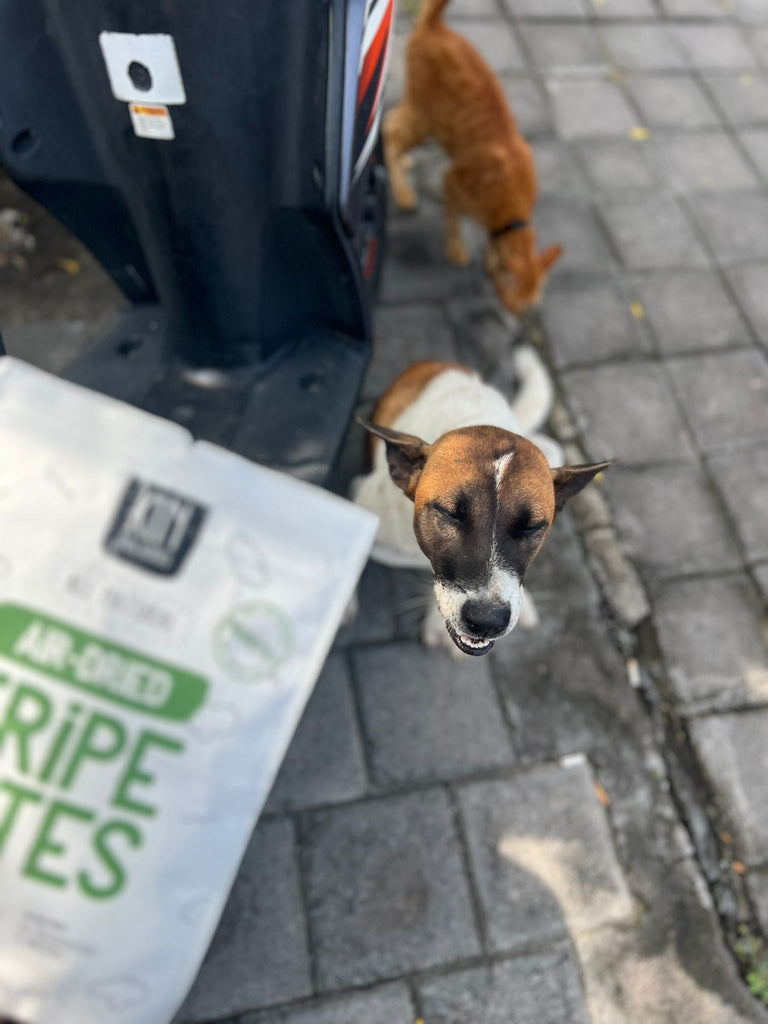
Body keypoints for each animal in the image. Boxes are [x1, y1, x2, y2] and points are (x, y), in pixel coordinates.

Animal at [387, 0, 561, 315]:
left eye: (528, 306)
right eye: (517, 304)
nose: (519, 314)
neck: (512, 208)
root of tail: (437, 27)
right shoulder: (452, 181)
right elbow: (454, 219)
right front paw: (457, 249)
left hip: (421, 117)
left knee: (391, 119)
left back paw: (403, 166)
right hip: (423, 120)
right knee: (390, 130)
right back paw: (403, 192)